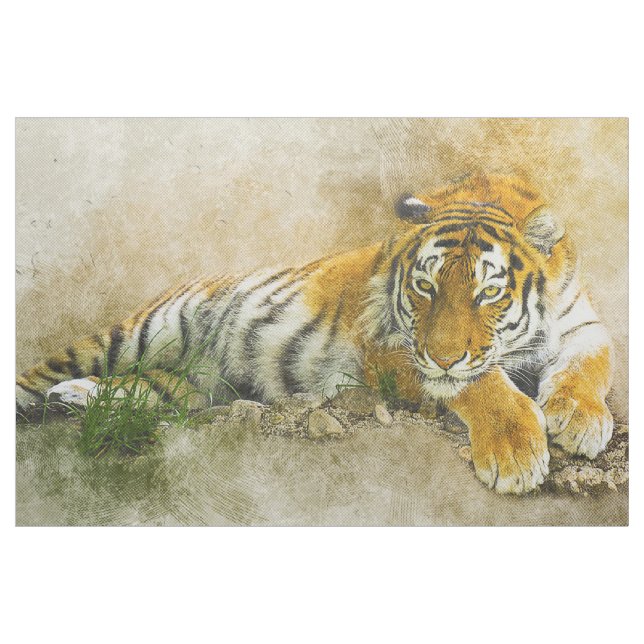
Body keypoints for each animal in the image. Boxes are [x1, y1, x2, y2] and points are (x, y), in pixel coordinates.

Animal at [16, 174, 614, 494]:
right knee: (39, 375)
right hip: (136, 333)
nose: (443, 355)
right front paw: (516, 453)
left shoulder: (583, 325)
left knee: (148, 391)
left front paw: (580, 419)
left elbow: (591, 366)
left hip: (195, 387)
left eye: (489, 292)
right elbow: (481, 383)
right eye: (425, 286)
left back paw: (75, 398)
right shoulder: (393, 348)